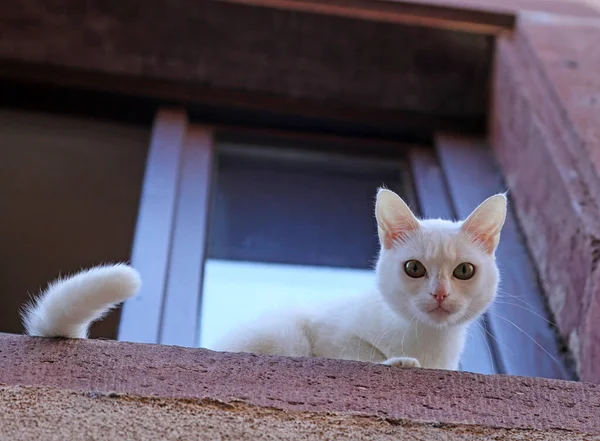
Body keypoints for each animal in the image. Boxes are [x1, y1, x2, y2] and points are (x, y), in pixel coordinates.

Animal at [216, 187, 506, 370]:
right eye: (413, 267)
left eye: (464, 271)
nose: (440, 293)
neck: (428, 338)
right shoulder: (333, 331)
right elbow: (354, 353)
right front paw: (398, 361)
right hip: (284, 333)